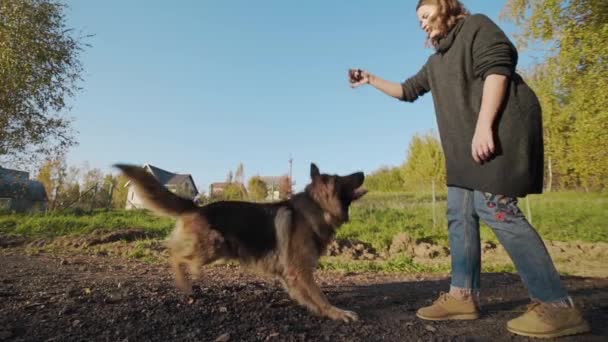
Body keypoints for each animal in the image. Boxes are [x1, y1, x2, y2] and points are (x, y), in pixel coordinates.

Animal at [116, 163, 368, 324]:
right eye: (340, 179)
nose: (363, 172)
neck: (315, 209)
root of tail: (197, 207)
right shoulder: (301, 271)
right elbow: (320, 295)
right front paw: (336, 313)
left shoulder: (292, 274)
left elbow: (307, 296)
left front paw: (316, 309)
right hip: (213, 246)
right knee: (174, 255)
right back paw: (186, 281)